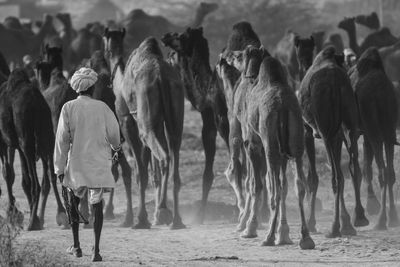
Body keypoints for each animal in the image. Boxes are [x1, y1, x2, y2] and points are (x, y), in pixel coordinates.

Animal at [0, 68, 66, 230]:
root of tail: (36, 104)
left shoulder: (5, 142)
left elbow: (8, 173)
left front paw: (13, 213)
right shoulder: (18, 145)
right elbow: (24, 179)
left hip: (27, 140)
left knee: (36, 183)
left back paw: (33, 223)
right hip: (47, 135)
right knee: (51, 173)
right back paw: (60, 214)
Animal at [159, 27, 228, 224]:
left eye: (180, 36)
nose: (165, 36)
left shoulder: (216, 122)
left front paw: (199, 216)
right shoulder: (211, 124)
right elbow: (208, 175)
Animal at [296, 47, 368, 238]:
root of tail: (335, 83)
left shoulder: (308, 131)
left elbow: (313, 178)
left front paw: (312, 224)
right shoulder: (339, 134)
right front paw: (347, 222)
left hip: (325, 130)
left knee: (336, 176)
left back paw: (334, 228)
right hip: (350, 126)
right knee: (353, 169)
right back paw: (359, 217)